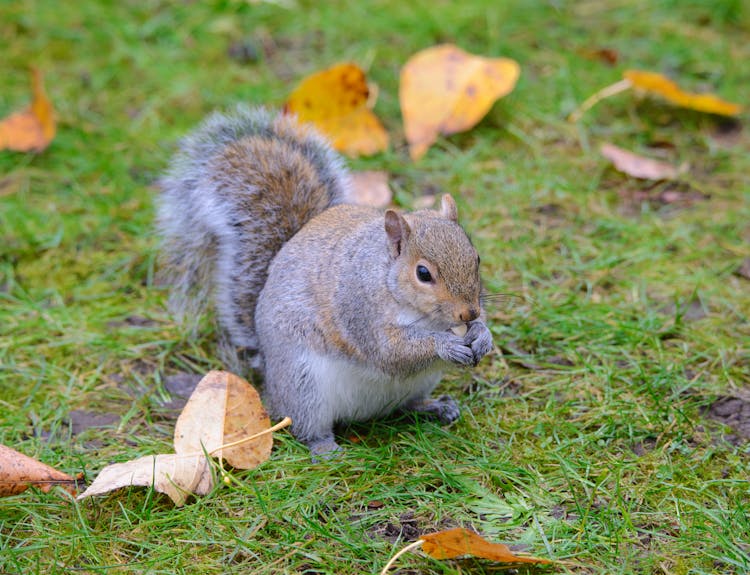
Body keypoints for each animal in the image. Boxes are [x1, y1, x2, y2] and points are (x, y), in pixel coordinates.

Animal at [159, 106, 494, 456]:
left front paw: (483, 335)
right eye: (423, 274)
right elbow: (392, 351)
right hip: (304, 384)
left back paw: (436, 406)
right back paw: (325, 447)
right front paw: (446, 344)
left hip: (418, 382)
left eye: (476, 258)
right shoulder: (358, 309)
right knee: (304, 425)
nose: (469, 313)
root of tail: (270, 380)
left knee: (406, 405)